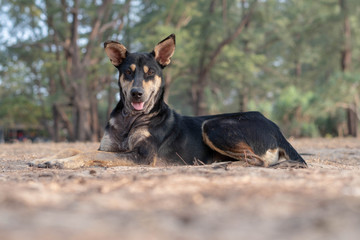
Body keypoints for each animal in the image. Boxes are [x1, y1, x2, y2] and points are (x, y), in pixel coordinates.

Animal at [29, 34, 308, 169]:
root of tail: (276, 127)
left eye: (150, 72)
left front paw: (60, 163)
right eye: (128, 72)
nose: (137, 94)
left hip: (214, 125)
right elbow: (72, 148)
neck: (132, 120)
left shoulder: (142, 156)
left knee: (260, 161)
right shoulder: (108, 147)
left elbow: (84, 152)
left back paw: (222, 166)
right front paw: (47, 157)